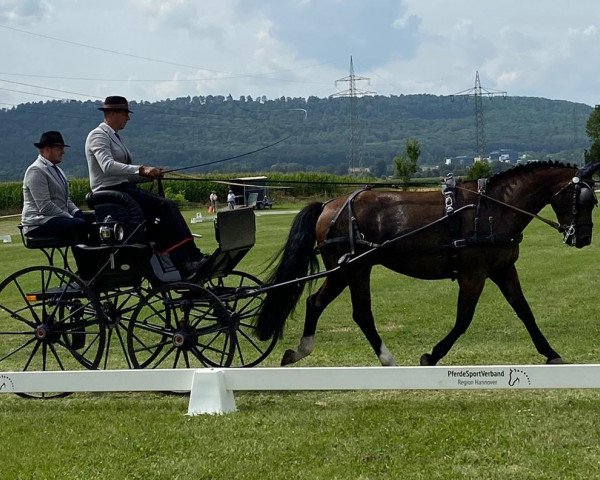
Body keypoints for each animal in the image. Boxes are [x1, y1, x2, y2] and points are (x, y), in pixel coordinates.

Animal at [254, 162, 600, 368]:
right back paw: (381, 358)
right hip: (351, 269)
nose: (583, 238)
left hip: (351, 270)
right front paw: (431, 356)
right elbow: (463, 319)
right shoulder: (474, 274)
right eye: (584, 200)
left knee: (327, 305)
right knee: (345, 309)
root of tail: (330, 204)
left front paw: (551, 353)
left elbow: (525, 311)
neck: (493, 209)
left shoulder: (502, 270)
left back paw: (303, 352)